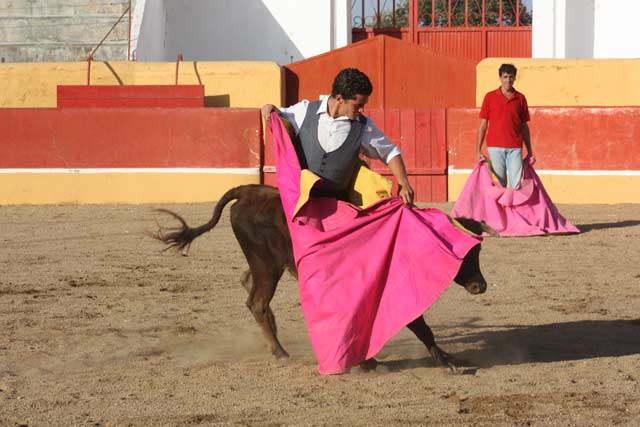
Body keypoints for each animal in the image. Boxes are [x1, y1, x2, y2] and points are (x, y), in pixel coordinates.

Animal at [152, 186, 492, 372]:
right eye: (468, 254)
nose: (481, 285)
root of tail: (247, 191)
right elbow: (419, 325)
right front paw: (445, 361)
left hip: (268, 266)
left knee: (248, 286)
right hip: (267, 265)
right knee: (257, 301)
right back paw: (280, 352)